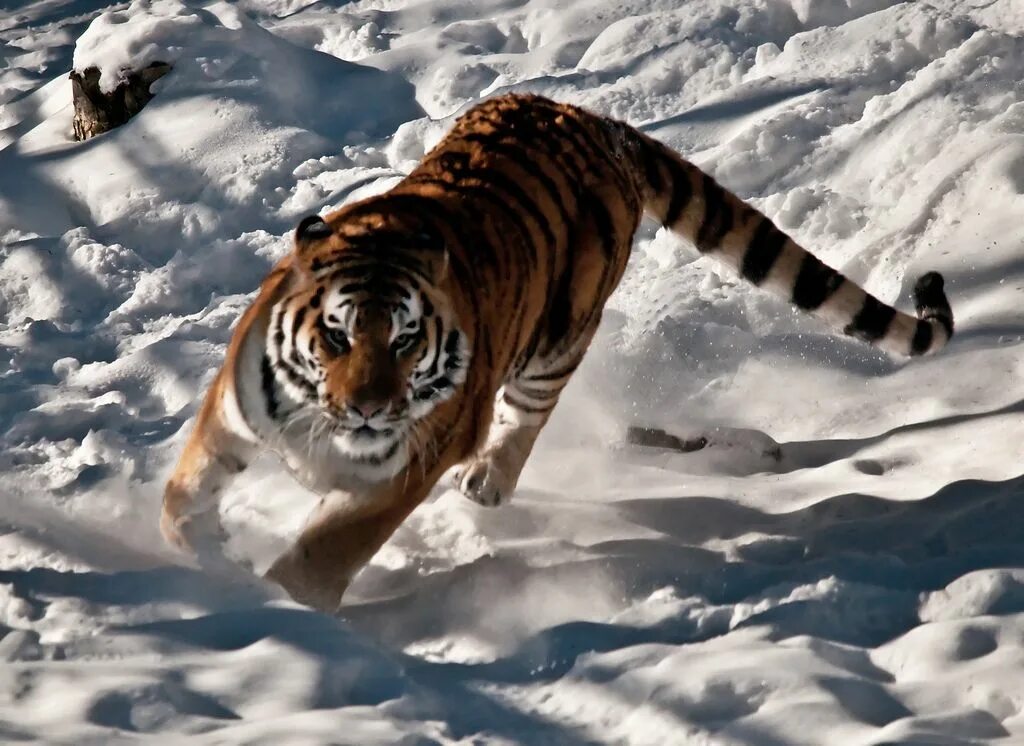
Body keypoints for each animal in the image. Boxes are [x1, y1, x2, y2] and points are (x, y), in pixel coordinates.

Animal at [157, 91, 950, 609]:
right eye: (336, 335)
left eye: (407, 340)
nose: (369, 410)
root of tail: (601, 123)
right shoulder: (233, 412)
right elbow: (183, 498)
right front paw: (205, 562)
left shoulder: (404, 468)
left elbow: (328, 550)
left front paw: (280, 609)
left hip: (560, 337)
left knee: (529, 415)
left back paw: (486, 481)